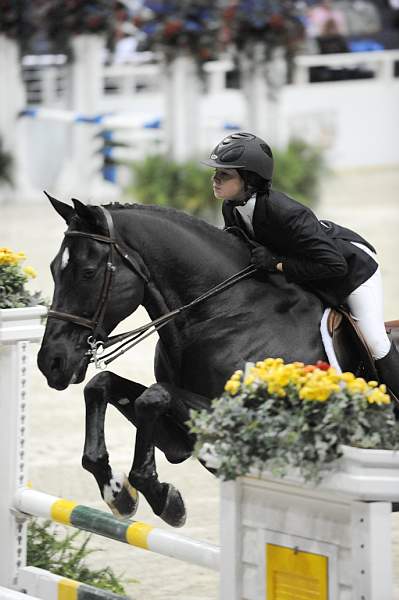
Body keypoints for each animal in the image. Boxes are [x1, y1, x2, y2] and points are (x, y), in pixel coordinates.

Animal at [37, 196, 328, 524]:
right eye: (53, 269)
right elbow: (102, 384)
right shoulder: (181, 439)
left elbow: (152, 396)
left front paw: (162, 496)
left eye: (87, 272)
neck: (225, 310)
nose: (51, 362)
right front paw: (119, 493)